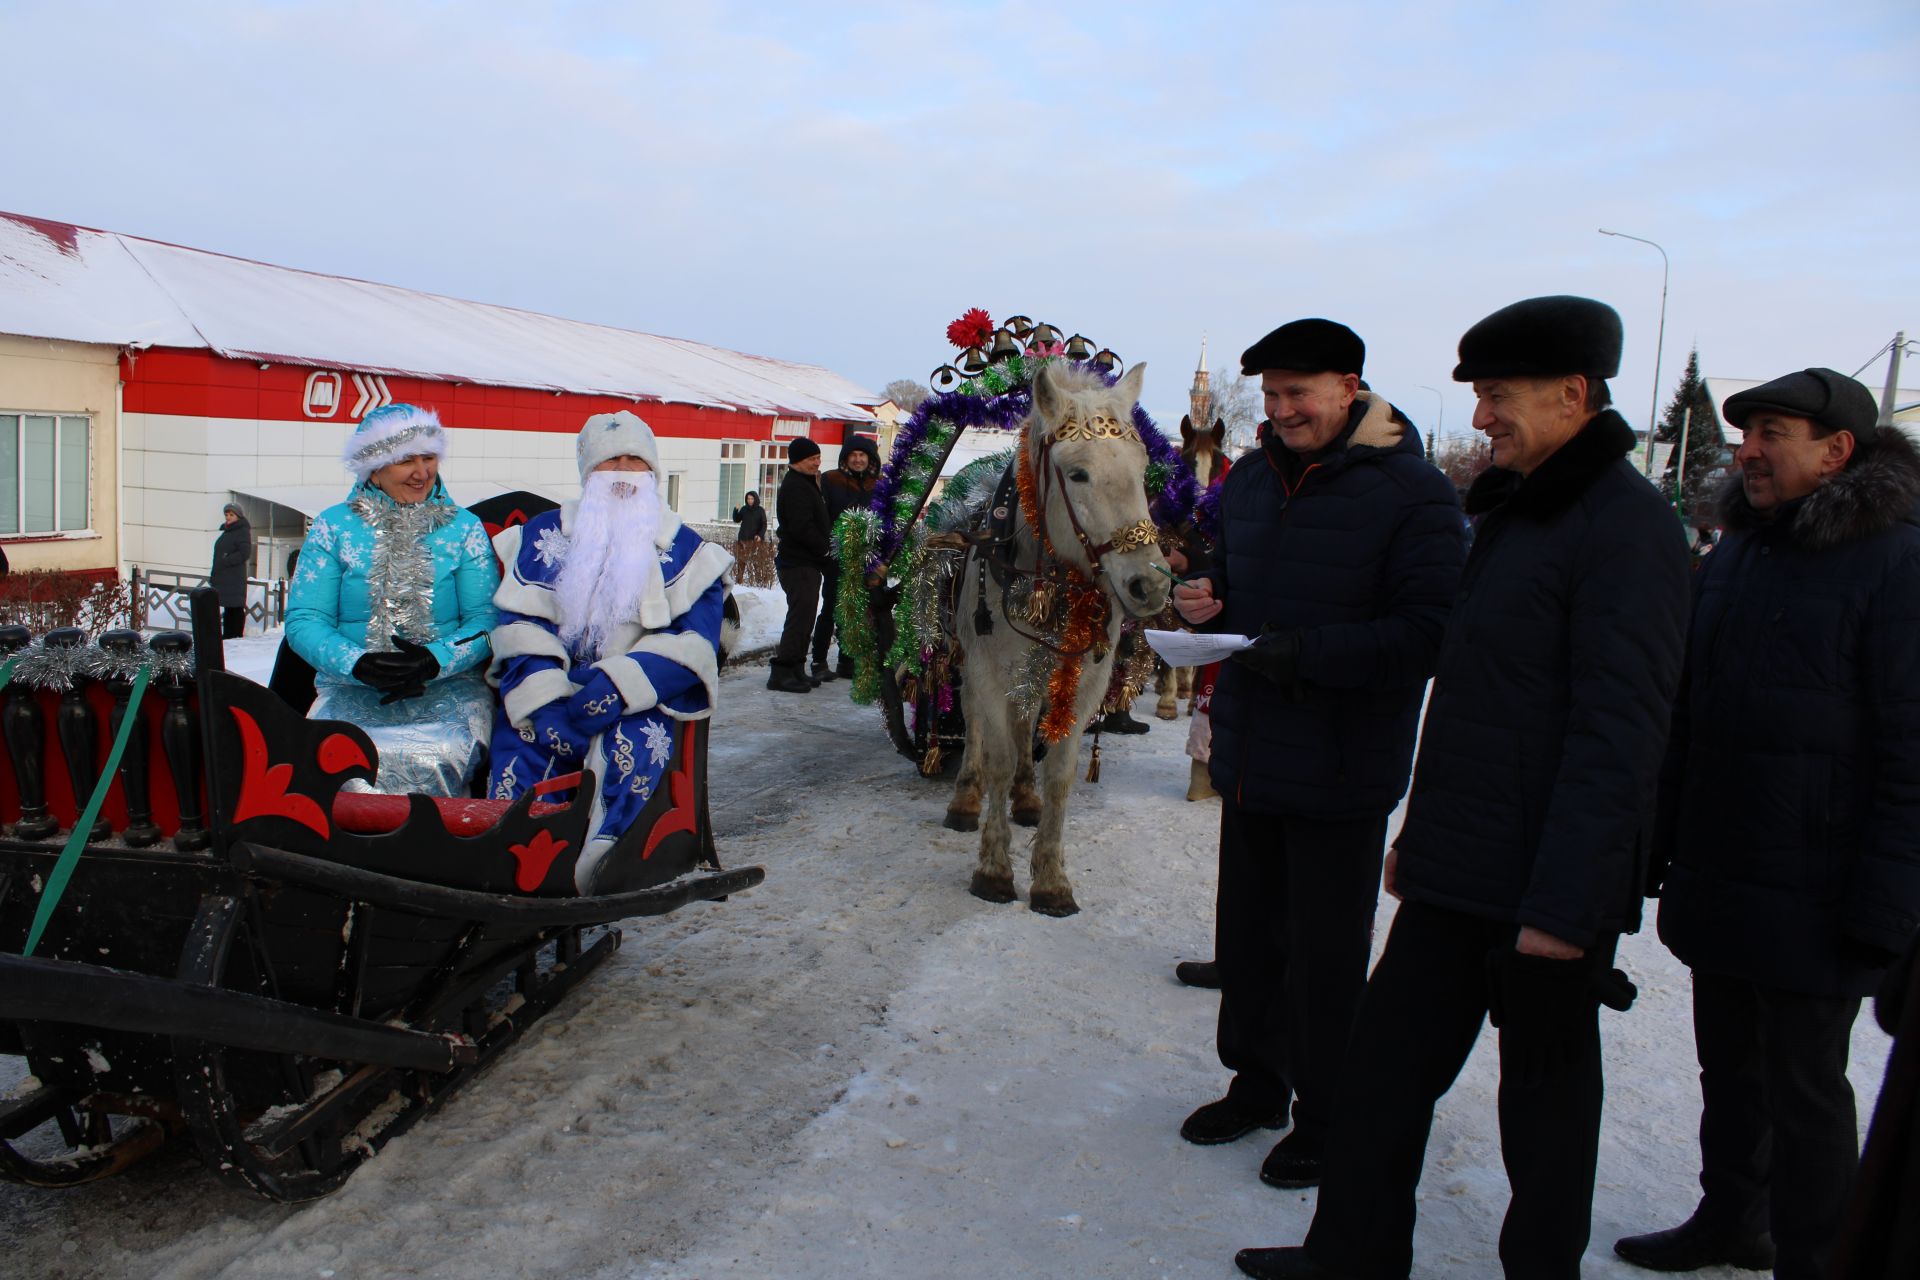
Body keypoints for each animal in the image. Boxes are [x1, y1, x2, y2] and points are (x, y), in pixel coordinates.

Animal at [944, 364, 1167, 917]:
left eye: (1142, 466)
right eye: (1078, 473)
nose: (1149, 584)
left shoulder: (1085, 681)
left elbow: (1061, 771)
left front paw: (1050, 877)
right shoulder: (990, 671)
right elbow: (998, 759)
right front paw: (994, 869)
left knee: (1026, 724)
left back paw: (1026, 798)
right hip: (971, 663)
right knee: (975, 722)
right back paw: (965, 798)